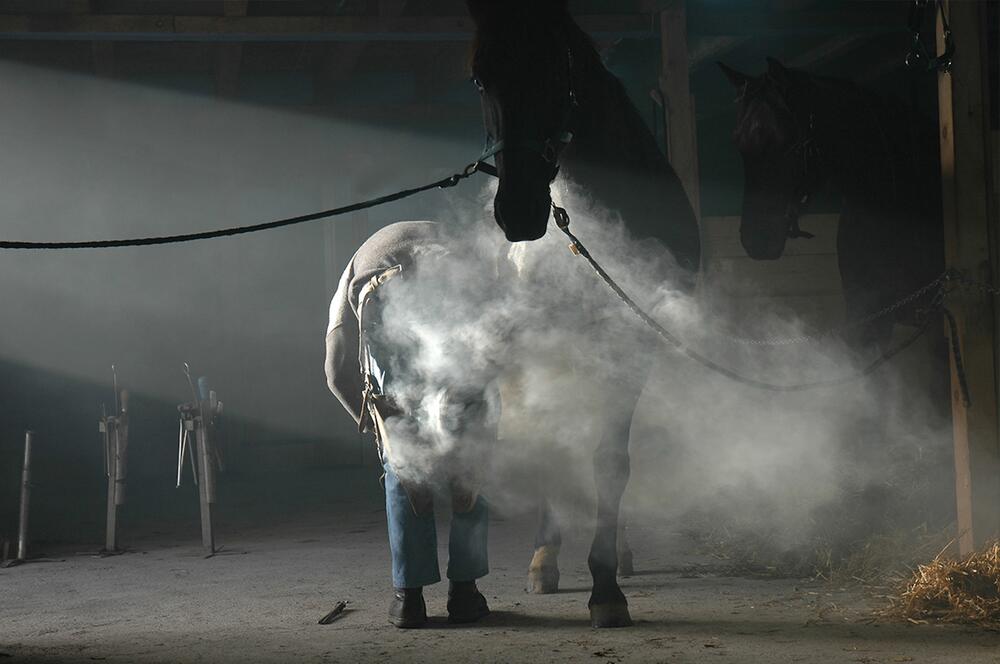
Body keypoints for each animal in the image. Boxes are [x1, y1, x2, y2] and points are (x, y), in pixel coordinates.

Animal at [464, 0, 700, 628]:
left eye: (553, 68)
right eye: (480, 79)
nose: (519, 211)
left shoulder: (632, 345)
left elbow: (612, 461)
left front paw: (607, 585)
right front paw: (555, 561)